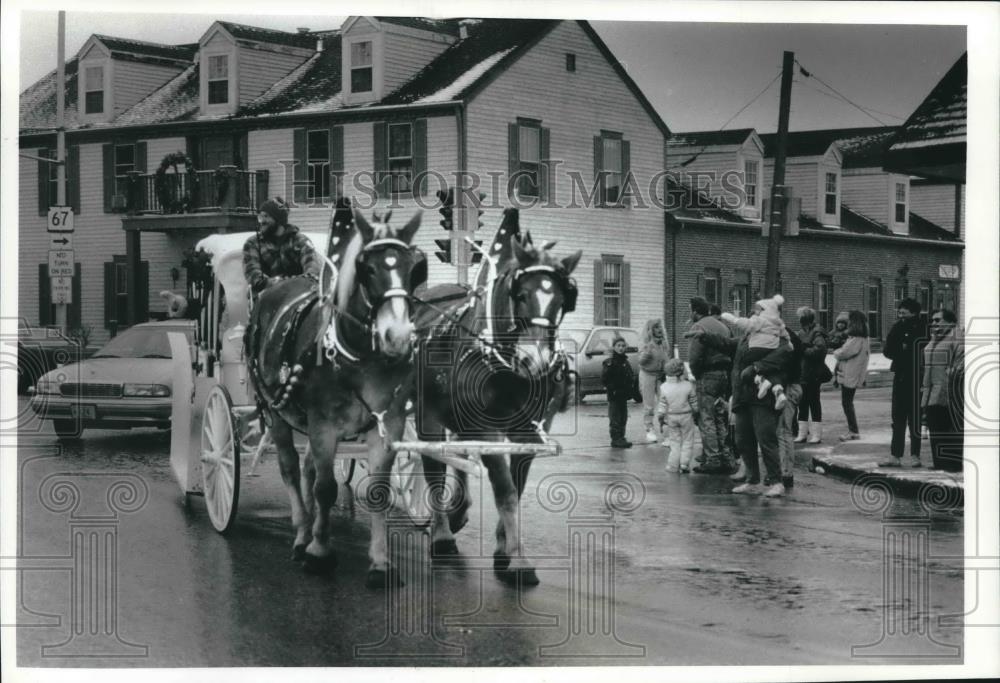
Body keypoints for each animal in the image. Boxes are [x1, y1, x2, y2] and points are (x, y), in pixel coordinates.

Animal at [250, 208, 426, 588]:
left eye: (414, 267)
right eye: (366, 268)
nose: (397, 336)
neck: (360, 358)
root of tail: (279, 284)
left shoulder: (388, 425)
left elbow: (377, 492)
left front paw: (380, 562)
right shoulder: (324, 425)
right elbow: (326, 489)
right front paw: (319, 552)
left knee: (307, 469)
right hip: (276, 413)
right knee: (290, 468)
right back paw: (302, 534)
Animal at [412, 208, 584, 588]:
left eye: (563, 300)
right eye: (520, 295)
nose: (535, 359)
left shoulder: (527, 431)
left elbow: (516, 488)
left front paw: (504, 549)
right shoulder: (486, 429)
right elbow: (504, 489)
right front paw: (518, 560)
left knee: (456, 454)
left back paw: (457, 511)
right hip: (428, 413)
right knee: (433, 464)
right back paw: (442, 534)